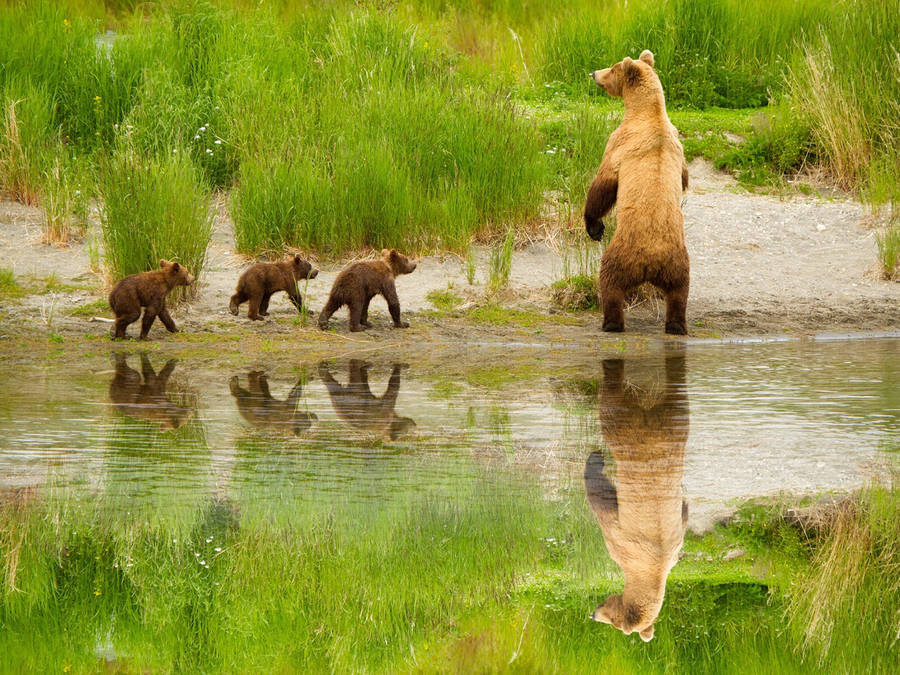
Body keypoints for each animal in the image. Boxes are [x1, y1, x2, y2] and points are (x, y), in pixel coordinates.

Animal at [584, 354, 689, 641]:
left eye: (613, 622)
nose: (593, 614)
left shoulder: (624, 540)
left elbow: (603, 503)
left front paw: (594, 462)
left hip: (629, 435)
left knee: (610, 407)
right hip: (675, 426)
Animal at [585, 50, 690, 335]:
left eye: (612, 68)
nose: (593, 73)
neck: (648, 112)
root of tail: (651, 263)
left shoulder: (620, 143)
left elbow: (603, 185)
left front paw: (594, 226)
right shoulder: (678, 145)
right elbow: (685, 178)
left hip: (622, 254)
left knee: (610, 282)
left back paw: (611, 322)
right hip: (678, 263)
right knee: (680, 292)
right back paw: (676, 325)